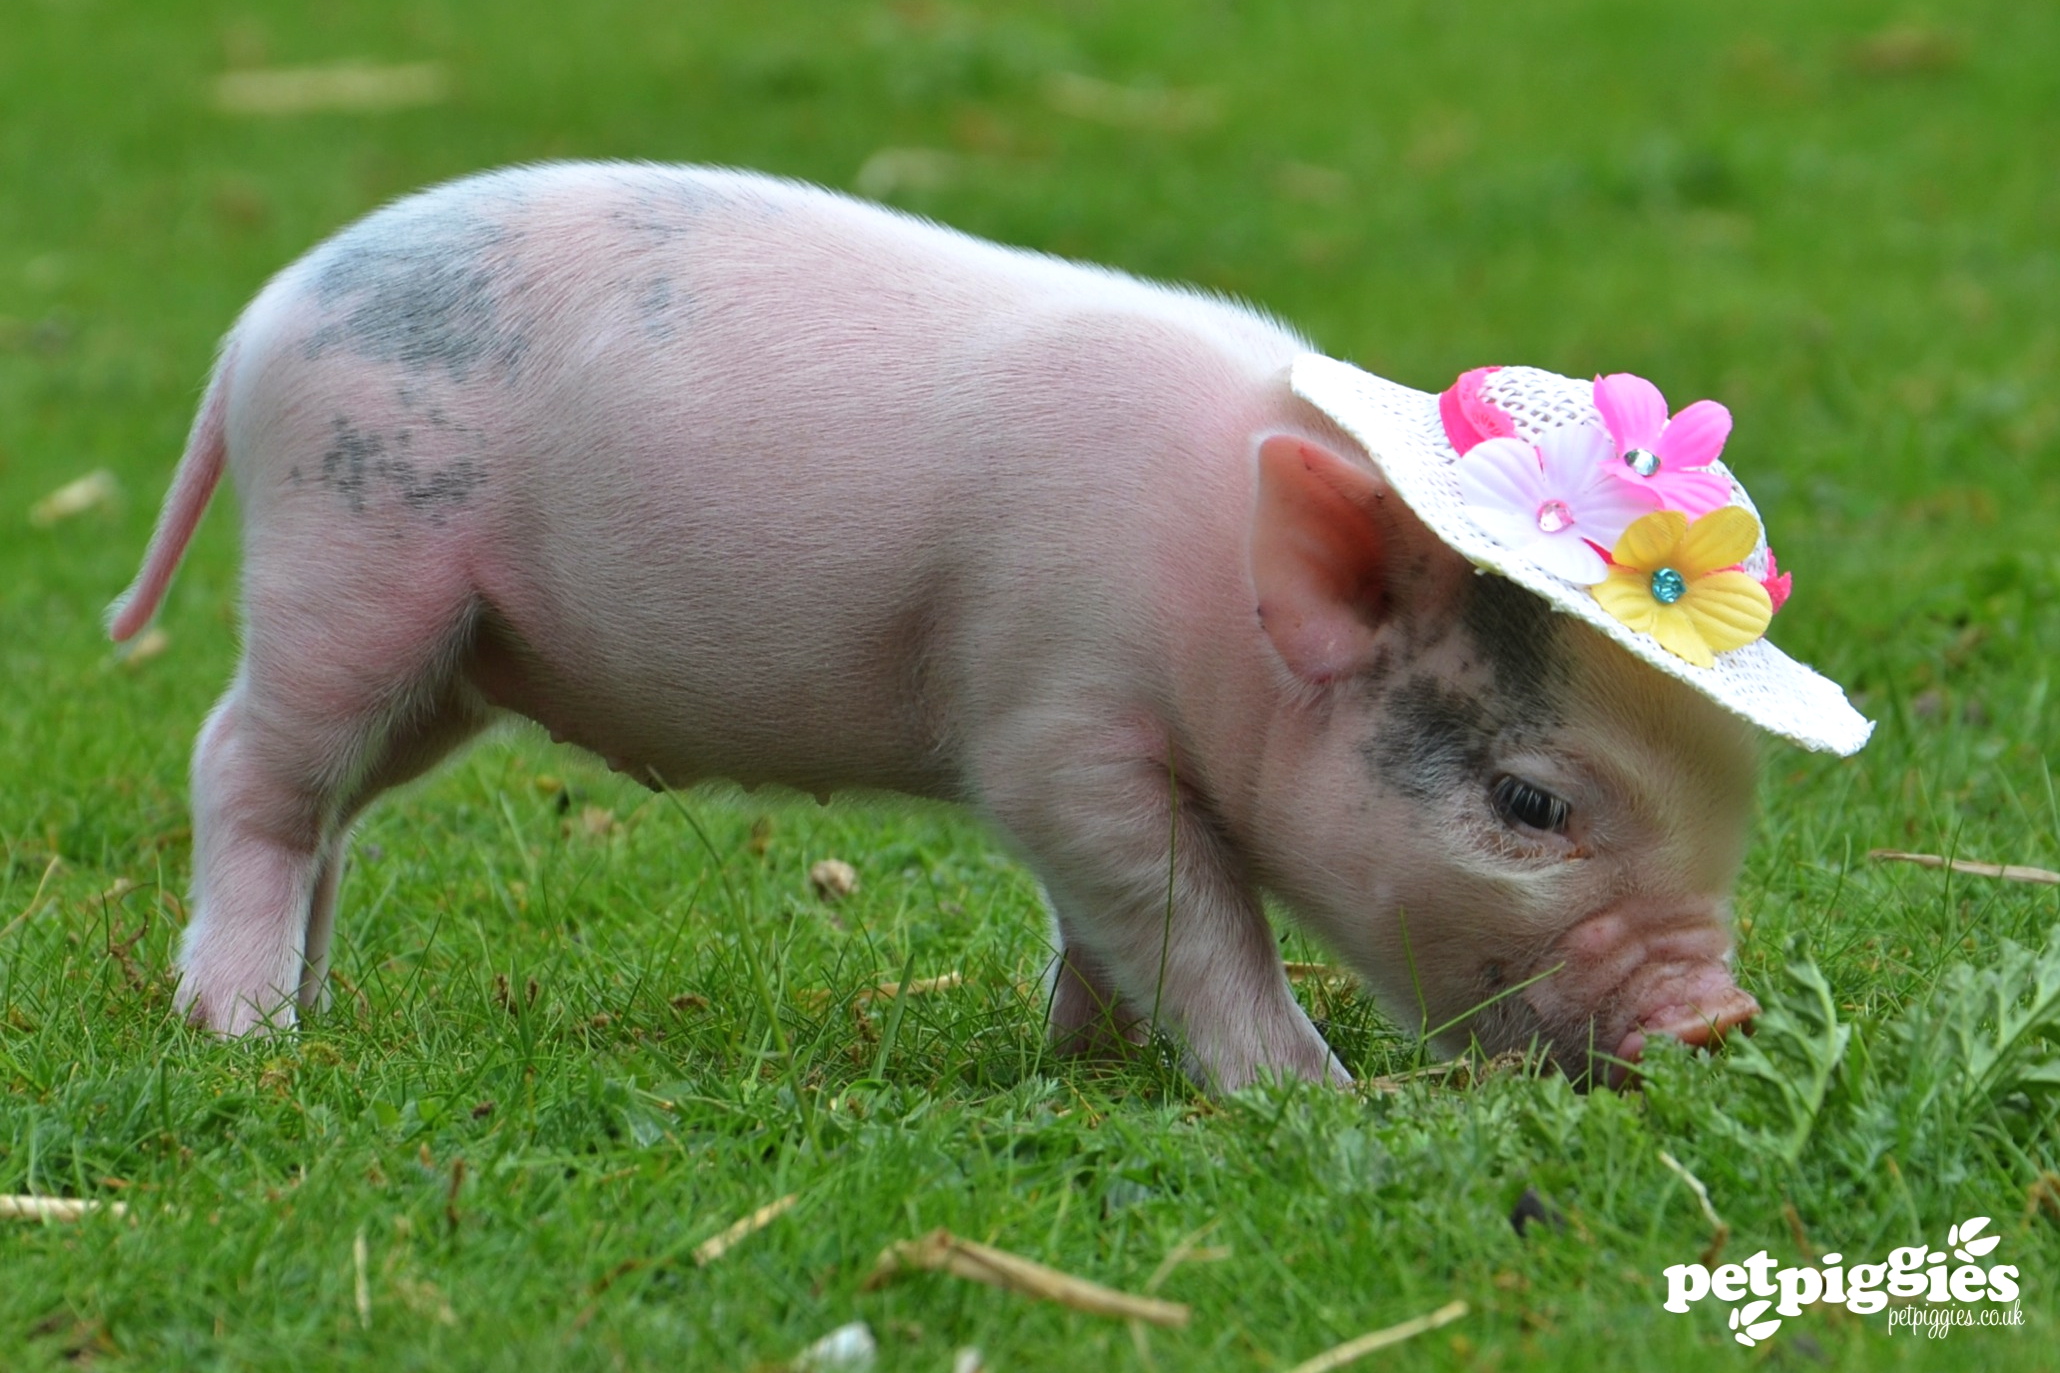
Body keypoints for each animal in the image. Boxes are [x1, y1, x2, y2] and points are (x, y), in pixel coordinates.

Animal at [110, 162, 1761, 1090]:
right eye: (1529, 803)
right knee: (237, 761)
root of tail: (257, 324)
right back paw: (244, 1029)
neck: (1219, 614)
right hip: (350, 562)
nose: (1720, 1015)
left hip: (451, 657)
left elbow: (1114, 922)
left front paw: (1081, 1054)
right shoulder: (1054, 716)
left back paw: (319, 1003)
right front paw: (1316, 1097)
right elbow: (1189, 910)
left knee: (331, 812)